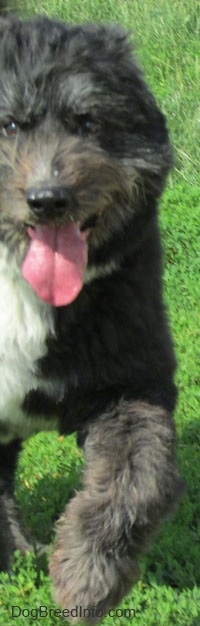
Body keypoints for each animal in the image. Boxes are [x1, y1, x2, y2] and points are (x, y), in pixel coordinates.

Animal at [0, 2, 184, 620]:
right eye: (10, 125)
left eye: (88, 123)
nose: (47, 199)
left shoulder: (132, 380)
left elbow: (137, 478)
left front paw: (88, 575)